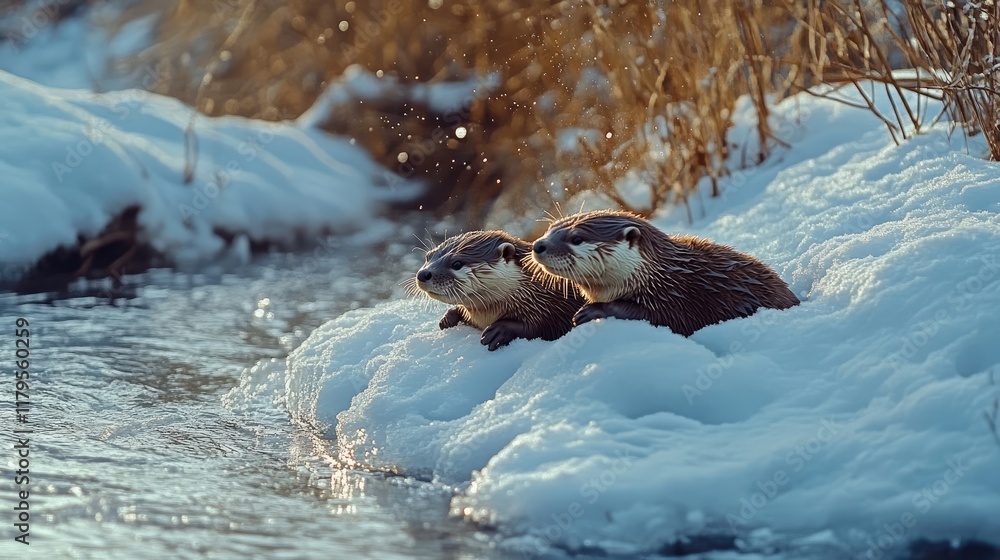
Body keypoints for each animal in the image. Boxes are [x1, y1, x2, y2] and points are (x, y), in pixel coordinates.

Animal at [407, 230, 585, 350]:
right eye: (428, 257)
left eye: (457, 264)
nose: (423, 274)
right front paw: (448, 318)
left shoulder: (553, 309)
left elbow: (541, 328)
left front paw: (500, 331)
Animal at [528, 210, 799, 336]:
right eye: (551, 228)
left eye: (576, 238)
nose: (538, 245)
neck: (663, 279)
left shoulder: (678, 303)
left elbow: (656, 318)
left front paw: (590, 311)